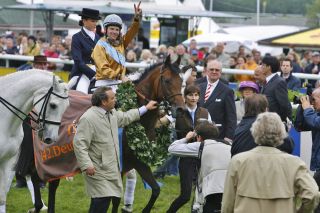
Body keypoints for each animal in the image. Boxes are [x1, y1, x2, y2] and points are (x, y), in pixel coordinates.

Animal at [21, 55, 184, 213]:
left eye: (182, 81)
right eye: (167, 80)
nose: (181, 109)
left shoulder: (136, 162)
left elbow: (154, 190)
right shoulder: (121, 164)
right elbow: (114, 197)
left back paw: (39, 206)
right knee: (42, 178)